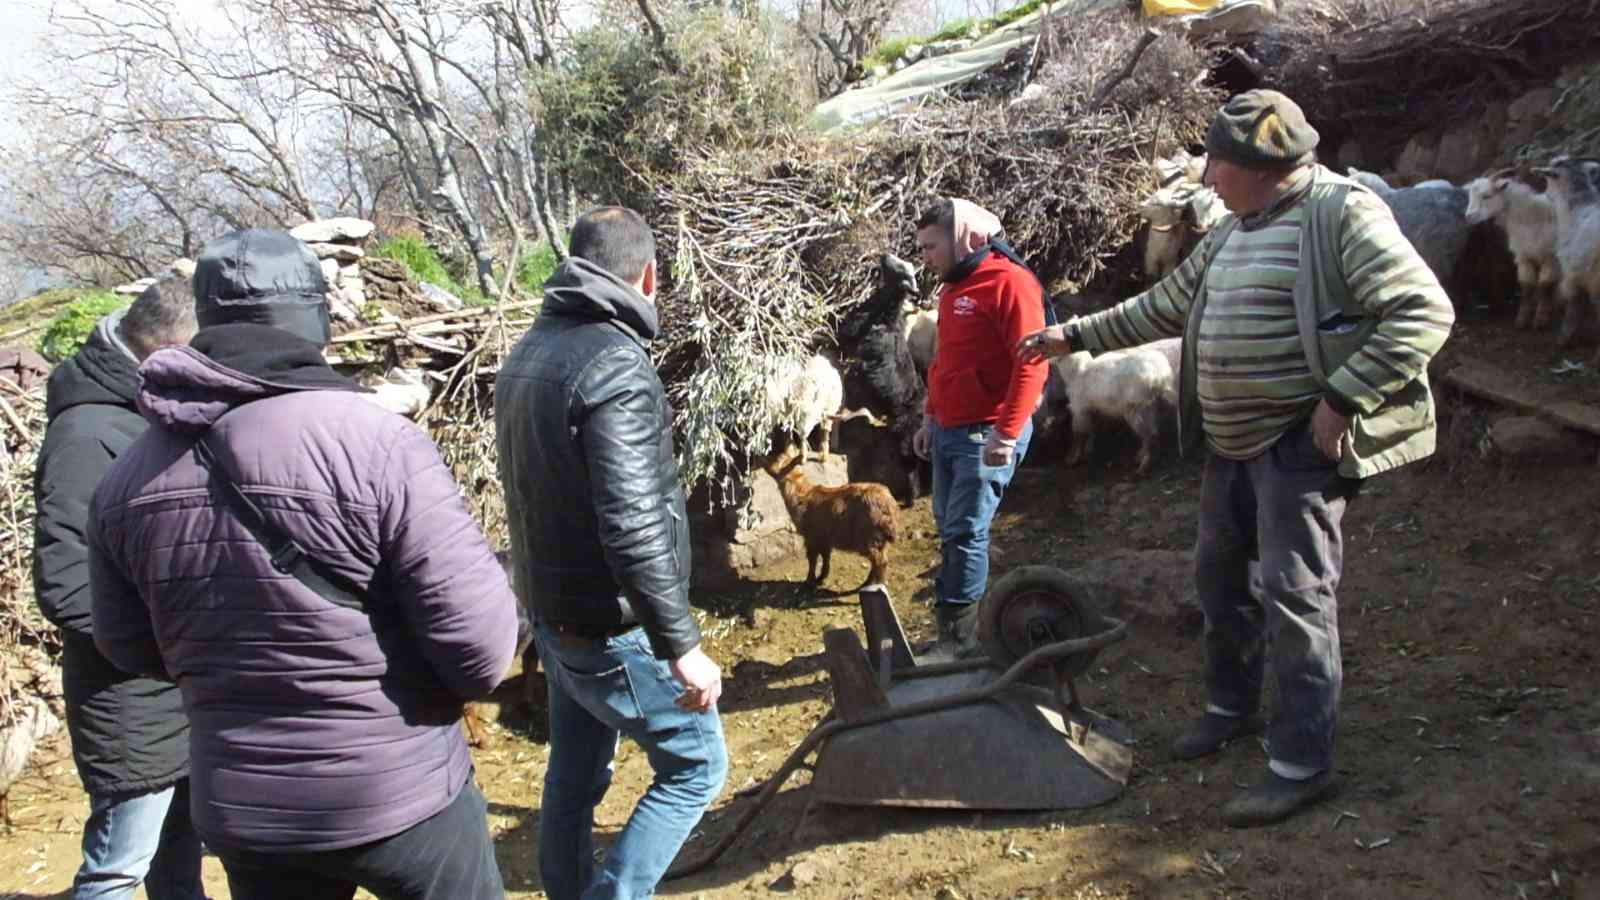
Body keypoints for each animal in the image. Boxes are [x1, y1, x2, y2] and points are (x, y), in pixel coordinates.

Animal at [761, 441, 902, 589]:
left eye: (776, 459)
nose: (760, 458)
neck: (801, 494)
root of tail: (889, 505)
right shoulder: (825, 537)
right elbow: (826, 557)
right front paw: (822, 578)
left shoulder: (812, 535)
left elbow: (812, 559)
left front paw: (809, 581)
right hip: (880, 539)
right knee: (879, 559)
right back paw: (867, 583)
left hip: (868, 536)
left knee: (880, 561)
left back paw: (876, 584)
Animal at [1056, 333, 1184, 474]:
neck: (1078, 369)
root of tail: (1159, 376)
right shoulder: (1091, 409)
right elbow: (1091, 429)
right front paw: (1088, 450)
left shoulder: (1079, 409)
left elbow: (1079, 435)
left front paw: (1073, 458)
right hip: (1150, 406)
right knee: (1152, 432)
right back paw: (1141, 456)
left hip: (1136, 408)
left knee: (1150, 435)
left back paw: (1143, 466)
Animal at [1465, 169, 1561, 328]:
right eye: (1470, 196)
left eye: (1487, 196)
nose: (1468, 217)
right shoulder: (1523, 256)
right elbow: (1526, 286)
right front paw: (1522, 319)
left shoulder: (1550, 257)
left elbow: (1545, 285)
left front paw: (1541, 319)